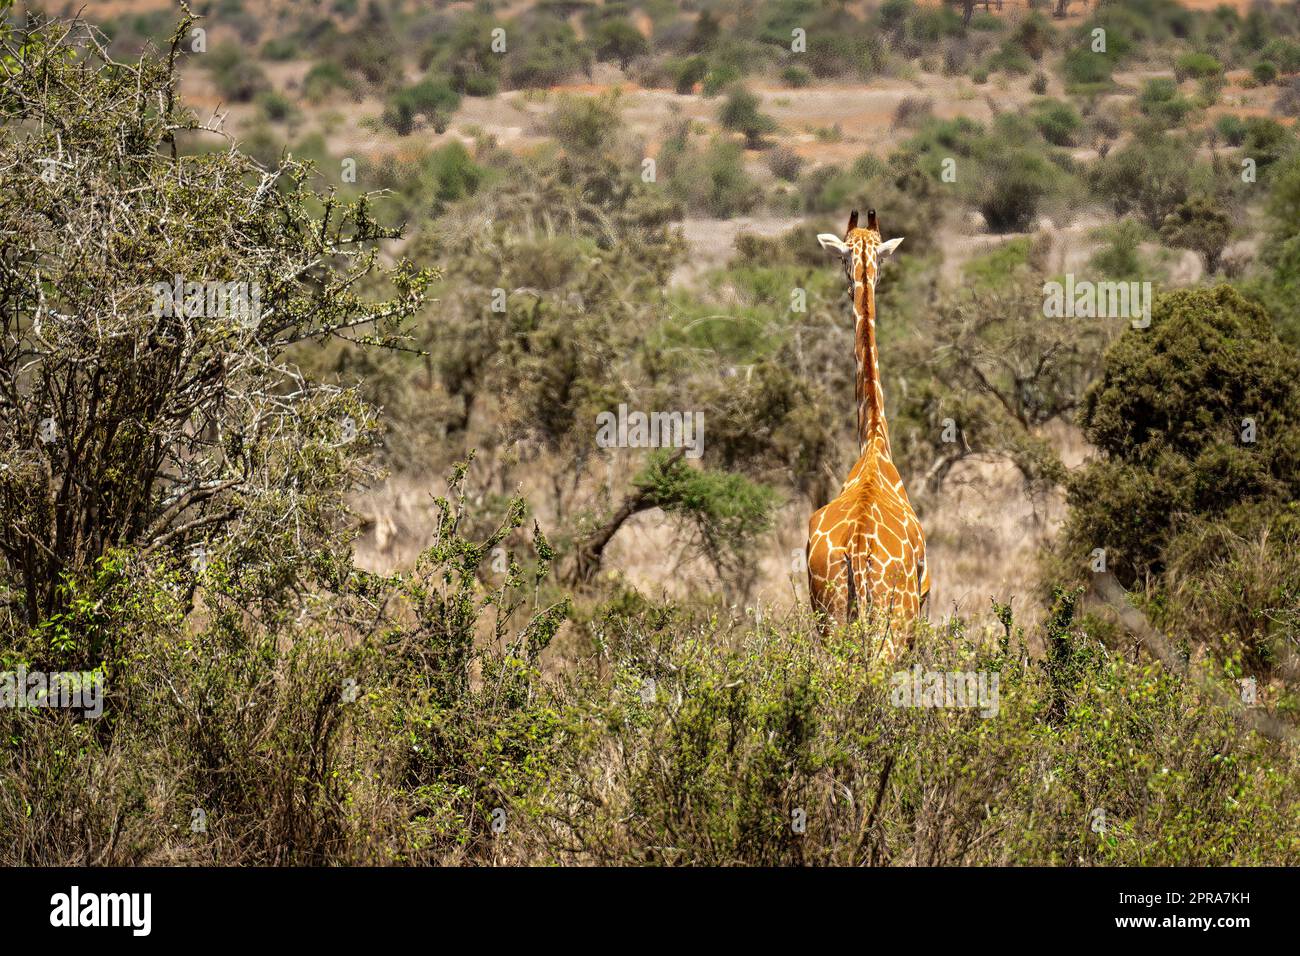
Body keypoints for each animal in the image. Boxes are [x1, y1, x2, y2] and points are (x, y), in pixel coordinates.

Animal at [806, 208, 930, 642]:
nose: (850, 287)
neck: (874, 441)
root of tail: (858, 549)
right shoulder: (925, 599)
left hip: (829, 618)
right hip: (895, 622)